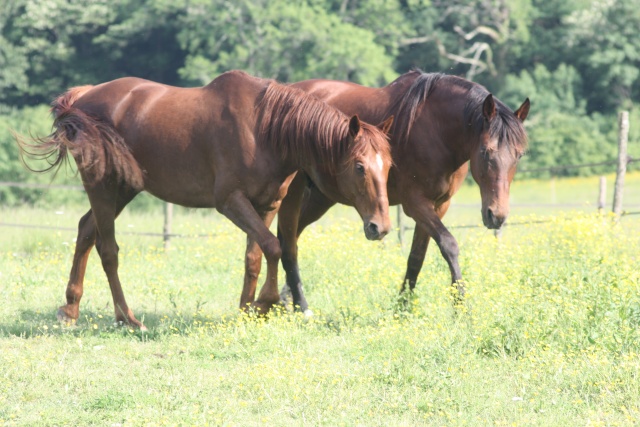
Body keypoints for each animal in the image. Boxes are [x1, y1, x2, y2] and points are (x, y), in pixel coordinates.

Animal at [20, 71, 392, 332]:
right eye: (359, 167)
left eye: (388, 166)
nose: (381, 227)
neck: (264, 130)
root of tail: (84, 96)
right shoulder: (230, 202)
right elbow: (273, 248)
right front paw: (263, 304)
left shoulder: (267, 205)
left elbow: (255, 256)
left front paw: (246, 310)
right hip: (101, 184)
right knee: (107, 249)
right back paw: (128, 318)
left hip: (123, 188)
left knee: (86, 231)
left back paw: (70, 309)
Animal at [276, 68, 528, 312]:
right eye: (485, 151)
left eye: (519, 155)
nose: (496, 215)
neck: (436, 130)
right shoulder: (415, 203)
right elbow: (449, 245)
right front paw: (461, 308)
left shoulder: (439, 205)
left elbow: (416, 257)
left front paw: (402, 308)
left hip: (321, 198)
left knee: (291, 236)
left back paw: (285, 299)